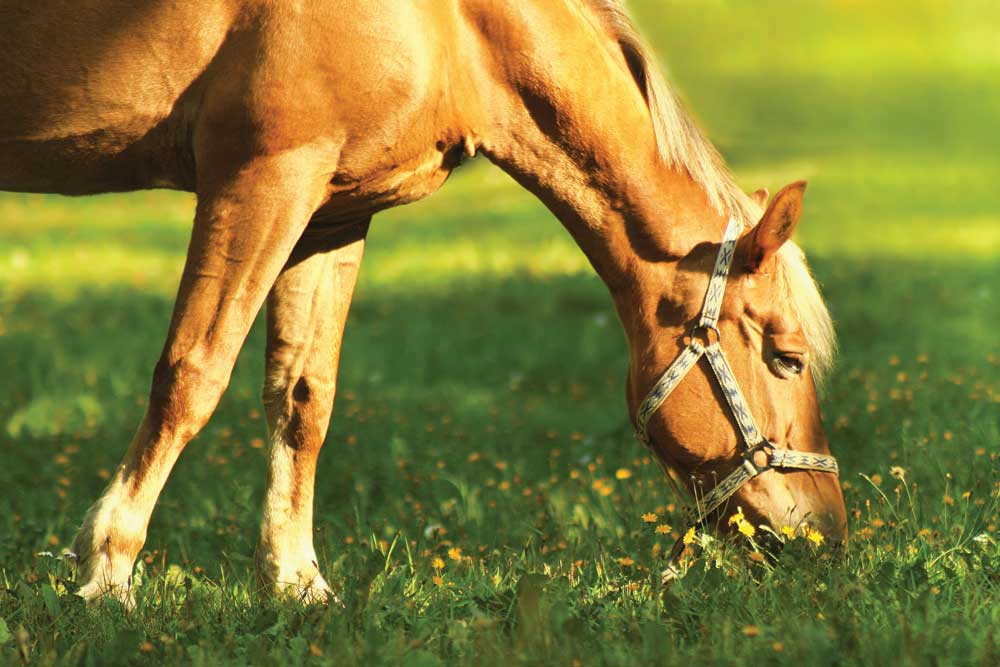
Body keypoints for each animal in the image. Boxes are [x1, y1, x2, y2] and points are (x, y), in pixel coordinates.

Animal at [0, 0, 847, 603]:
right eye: (786, 355)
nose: (829, 534)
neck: (452, 25)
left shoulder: (332, 211)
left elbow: (303, 396)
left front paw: (296, 583)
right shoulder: (262, 177)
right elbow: (192, 374)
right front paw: (106, 570)